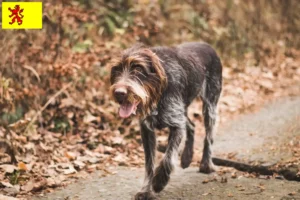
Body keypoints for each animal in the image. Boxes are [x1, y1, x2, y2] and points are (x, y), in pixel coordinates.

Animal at [110, 41, 223, 199]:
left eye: (138, 70)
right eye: (117, 70)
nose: (119, 93)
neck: (157, 93)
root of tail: (207, 45)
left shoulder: (176, 125)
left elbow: (168, 158)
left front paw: (159, 181)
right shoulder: (147, 130)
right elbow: (149, 164)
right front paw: (146, 190)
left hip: (210, 105)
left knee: (208, 137)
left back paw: (206, 164)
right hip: (183, 109)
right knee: (191, 125)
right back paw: (187, 157)